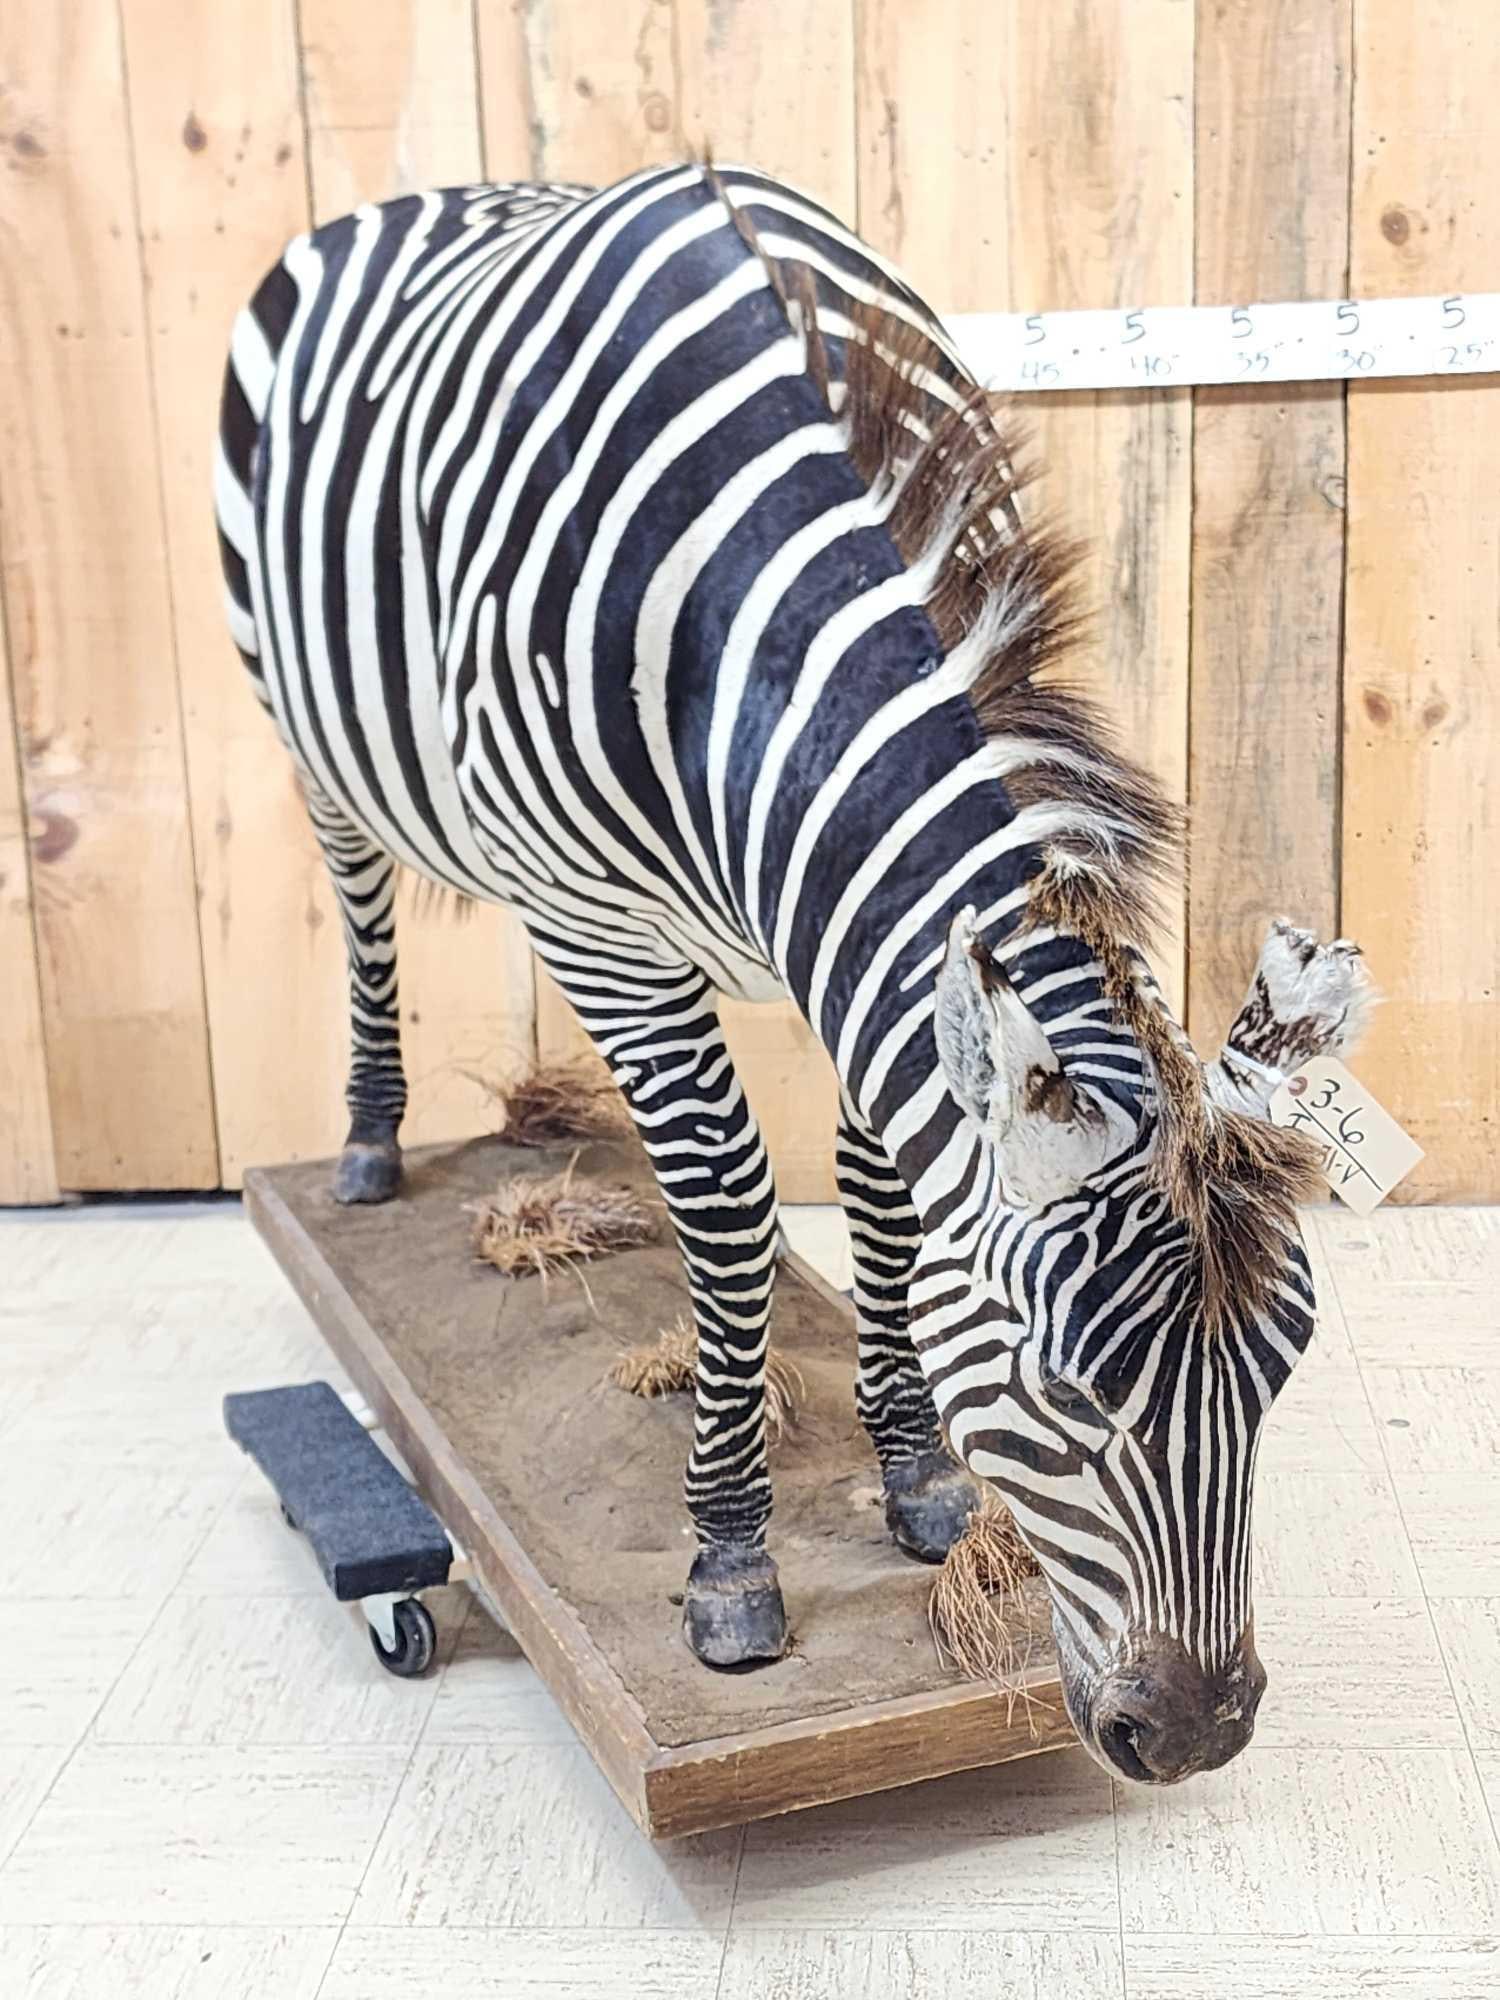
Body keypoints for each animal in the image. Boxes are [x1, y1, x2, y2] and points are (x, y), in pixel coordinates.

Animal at [216, 161, 1373, 1783]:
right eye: (1066, 1390)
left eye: (1282, 1374)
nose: (1200, 1735)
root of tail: (429, 193)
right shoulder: (610, 940)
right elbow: (730, 1213)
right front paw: (729, 1551)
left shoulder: (866, 974)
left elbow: (883, 1205)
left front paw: (914, 1472)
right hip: (303, 719)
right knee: (362, 898)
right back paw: (374, 1142)